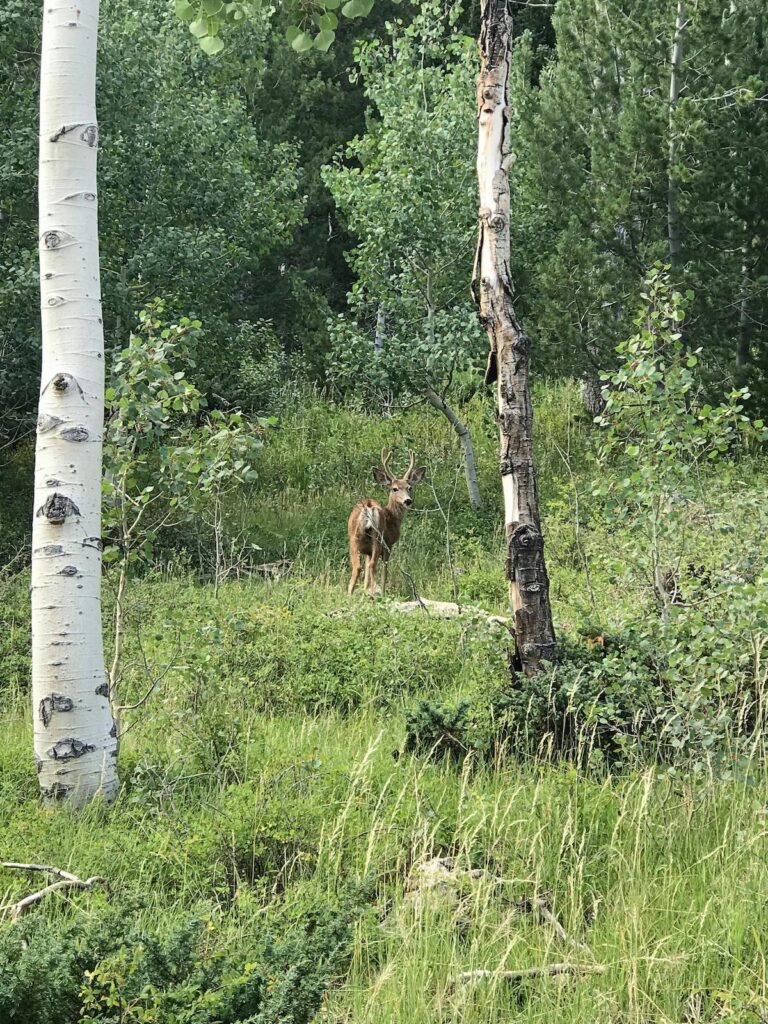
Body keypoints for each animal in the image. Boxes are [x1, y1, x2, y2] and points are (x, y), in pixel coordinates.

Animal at [347, 449, 426, 597]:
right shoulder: (389, 544)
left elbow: (366, 574)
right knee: (373, 565)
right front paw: (381, 591)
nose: (408, 500)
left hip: (354, 539)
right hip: (378, 539)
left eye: (410, 488)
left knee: (358, 567)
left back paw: (350, 595)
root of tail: (368, 506)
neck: (392, 518)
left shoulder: (367, 551)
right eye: (394, 488)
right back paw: (376, 593)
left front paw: (365, 590)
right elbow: (385, 569)